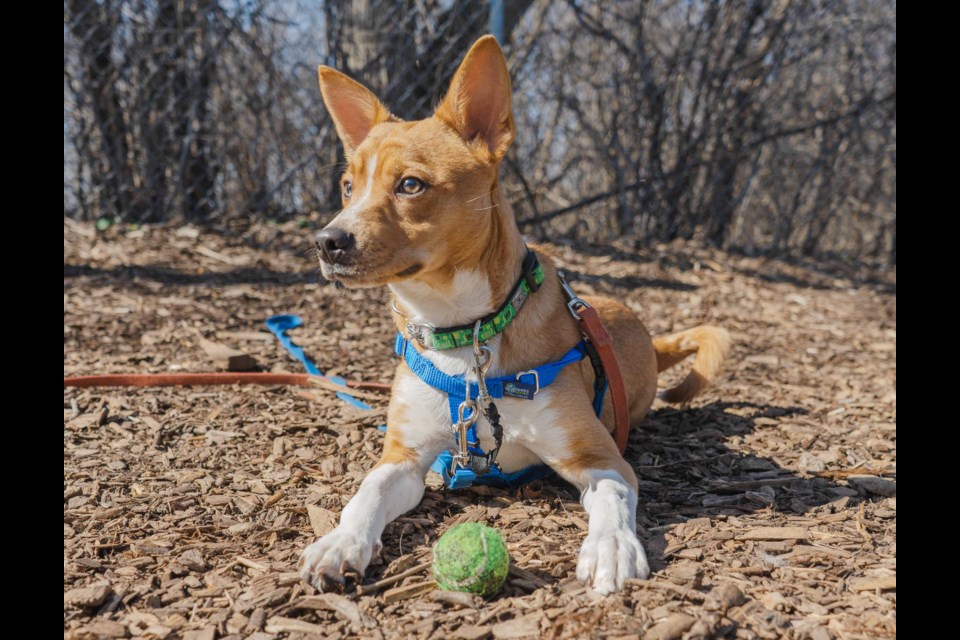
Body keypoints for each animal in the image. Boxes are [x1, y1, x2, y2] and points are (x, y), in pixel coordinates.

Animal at [296, 35, 732, 596]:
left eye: (411, 185)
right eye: (349, 187)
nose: (327, 242)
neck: (465, 336)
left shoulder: (601, 459)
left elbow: (612, 500)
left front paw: (611, 547)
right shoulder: (405, 458)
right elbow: (365, 493)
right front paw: (338, 542)